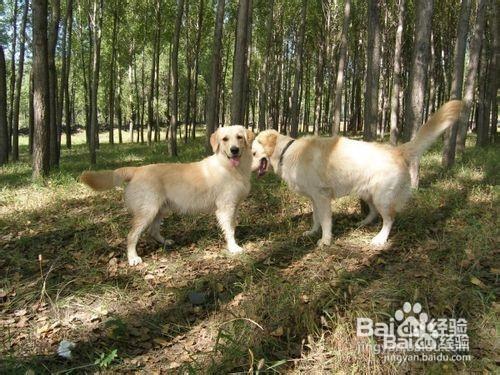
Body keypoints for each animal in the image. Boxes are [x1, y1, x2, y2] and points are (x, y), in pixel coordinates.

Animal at [80, 126, 256, 268]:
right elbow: (230, 230)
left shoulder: (234, 206)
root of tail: (137, 169)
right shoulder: (225, 208)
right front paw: (233, 247)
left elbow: (233, 226)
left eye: (239, 137)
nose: (234, 150)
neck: (231, 167)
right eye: (225, 139)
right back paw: (133, 258)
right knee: (131, 235)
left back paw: (165, 242)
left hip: (161, 209)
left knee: (152, 231)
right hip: (148, 211)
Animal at [254, 100, 464, 247]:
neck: (286, 151)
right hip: (367, 193)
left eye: (254, 153)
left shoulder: (322, 196)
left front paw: (325, 241)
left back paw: (380, 239)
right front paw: (312, 232)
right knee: (373, 213)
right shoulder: (314, 198)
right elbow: (315, 218)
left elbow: (325, 221)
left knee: (389, 218)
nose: (248, 168)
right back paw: (362, 223)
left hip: (382, 197)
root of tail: (397, 150)